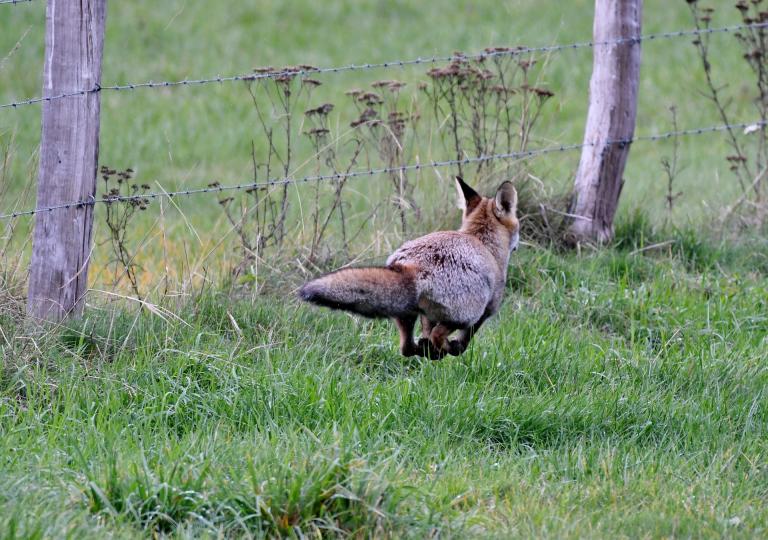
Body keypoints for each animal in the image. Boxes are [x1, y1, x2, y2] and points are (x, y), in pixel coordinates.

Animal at [296, 178, 520, 358]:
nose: (518, 245)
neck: (481, 240)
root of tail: (414, 268)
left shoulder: (428, 315)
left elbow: (425, 333)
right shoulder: (487, 309)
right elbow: (465, 341)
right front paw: (454, 347)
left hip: (405, 313)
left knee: (407, 348)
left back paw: (427, 351)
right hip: (463, 315)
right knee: (437, 336)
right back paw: (442, 350)